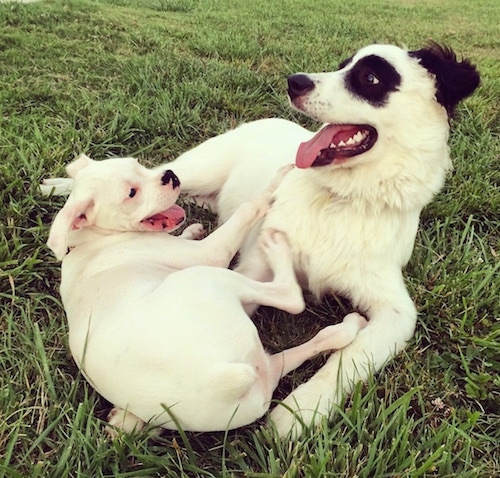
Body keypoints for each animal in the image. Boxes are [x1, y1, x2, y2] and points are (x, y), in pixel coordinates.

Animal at [46, 153, 368, 434]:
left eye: (138, 165)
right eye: (132, 193)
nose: (170, 175)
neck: (92, 240)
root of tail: (221, 379)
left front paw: (191, 229)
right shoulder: (210, 254)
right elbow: (248, 208)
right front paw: (276, 182)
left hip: (261, 377)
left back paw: (347, 327)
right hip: (210, 278)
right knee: (291, 298)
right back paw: (277, 248)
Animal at [165, 43, 480, 436]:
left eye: (370, 78)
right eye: (342, 65)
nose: (294, 82)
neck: (341, 200)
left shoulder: (397, 314)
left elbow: (350, 358)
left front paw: (298, 410)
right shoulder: (254, 268)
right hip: (191, 170)